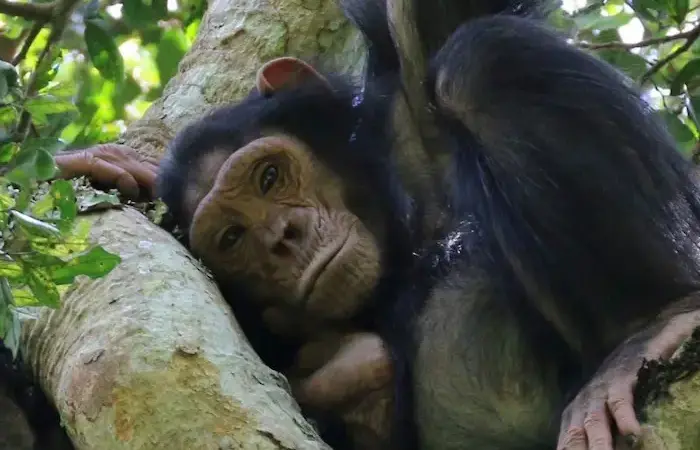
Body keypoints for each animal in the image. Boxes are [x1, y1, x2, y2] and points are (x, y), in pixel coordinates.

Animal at [51, 1, 700, 450]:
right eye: (233, 238)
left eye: (268, 177)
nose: (282, 239)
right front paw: (107, 167)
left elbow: (422, 22)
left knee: (480, 60)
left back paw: (652, 322)